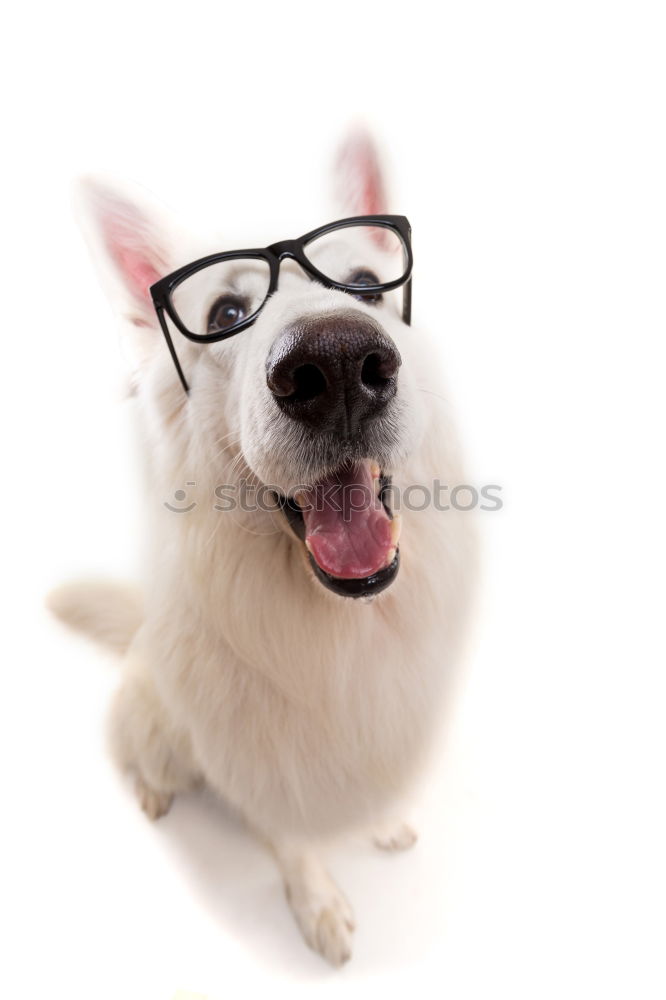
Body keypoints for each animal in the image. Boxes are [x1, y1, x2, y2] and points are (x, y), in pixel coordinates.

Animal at [50, 129, 478, 964]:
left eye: (366, 284)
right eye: (227, 312)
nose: (337, 363)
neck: (333, 626)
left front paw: (378, 821)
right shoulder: (259, 759)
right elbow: (292, 837)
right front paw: (316, 903)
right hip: (155, 723)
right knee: (136, 749)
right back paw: (152, 788)